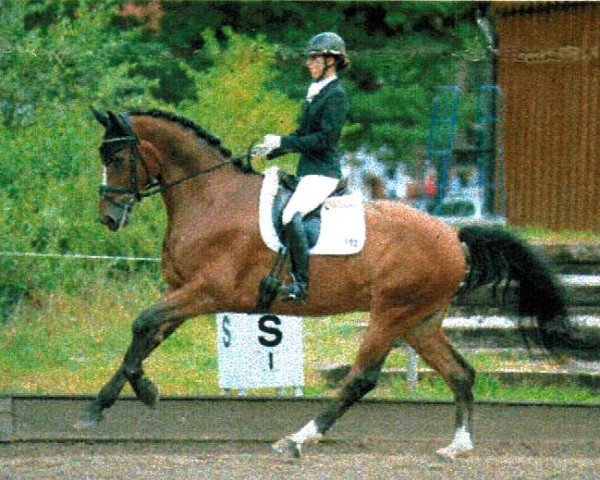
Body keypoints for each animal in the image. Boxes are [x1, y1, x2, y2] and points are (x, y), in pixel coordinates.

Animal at [79, 107, 596, 460]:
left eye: (117, 155)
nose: (108, 217)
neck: (210, 198)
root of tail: (452, 234)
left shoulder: (207, 291)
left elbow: (143, 323)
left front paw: (140, 393)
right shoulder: (183, 291)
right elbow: (145, 334)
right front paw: (105, 404)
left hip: (390, 313)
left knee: (362, 378)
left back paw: (298, 438)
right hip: (420, 321)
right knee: (461, 374)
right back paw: (458, 446)